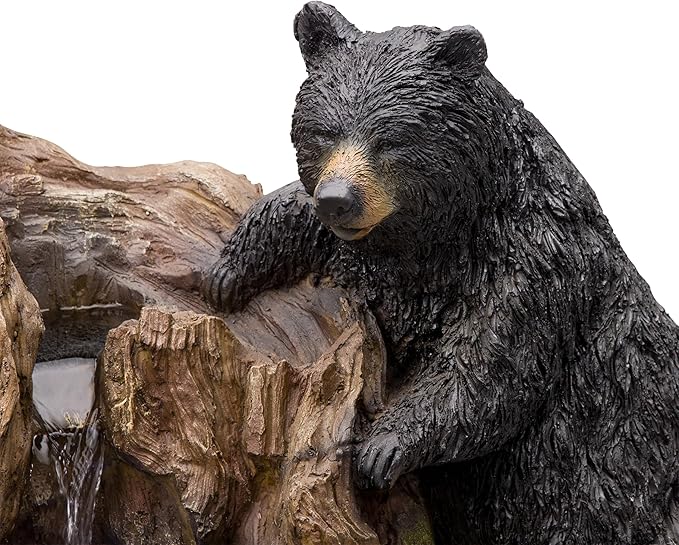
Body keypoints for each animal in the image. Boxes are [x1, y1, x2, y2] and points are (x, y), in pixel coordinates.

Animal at [203, 3, 679, 544]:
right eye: (324, 132)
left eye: (389, 140)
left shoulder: (533, 262)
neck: (443, 231)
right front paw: (227, 272)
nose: (338, 199)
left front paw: (381, 446)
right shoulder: (389, 253)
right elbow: (298, 214)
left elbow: (490, 366)